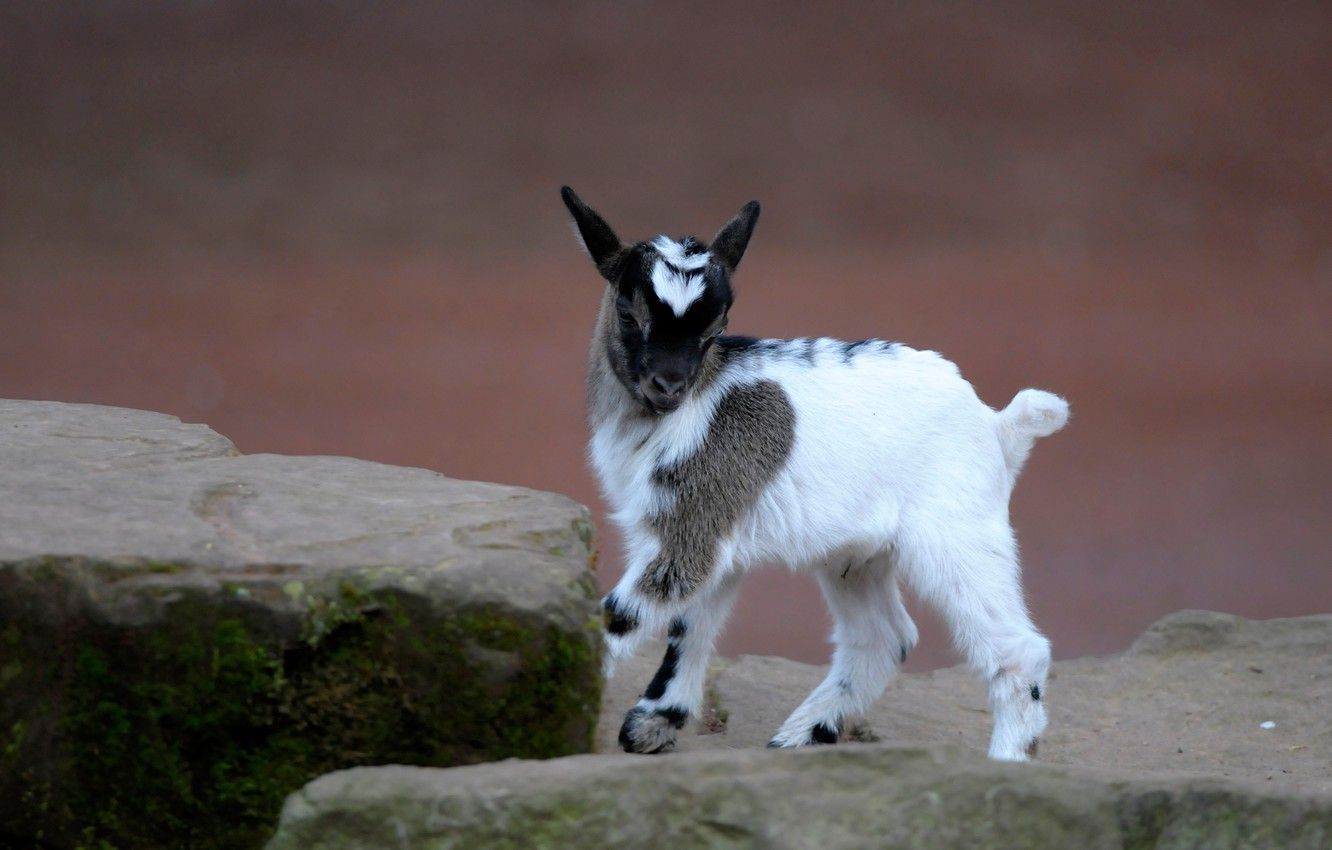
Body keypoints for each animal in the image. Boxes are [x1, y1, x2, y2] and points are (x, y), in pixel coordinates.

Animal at [561, 186, 1068, 761]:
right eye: (628, 313)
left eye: (717, 326)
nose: (669, 384)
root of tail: (997, 426)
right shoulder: (709, 530)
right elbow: (692, 623)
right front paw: (652, 724)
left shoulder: (688, 529)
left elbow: (619, 615)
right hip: (860, 554)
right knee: (883, 637)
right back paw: (802, 732)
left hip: (957, 535)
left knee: (1018, 649)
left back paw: (1005, 760)